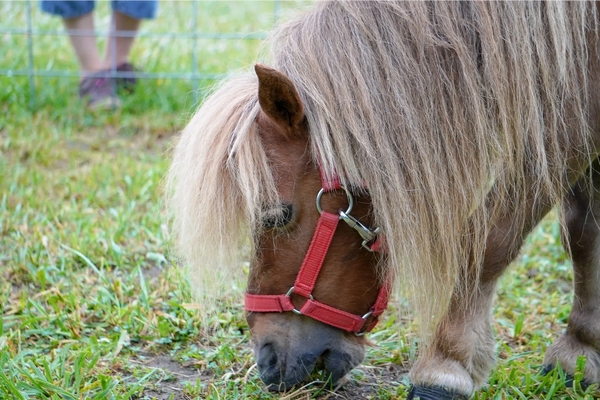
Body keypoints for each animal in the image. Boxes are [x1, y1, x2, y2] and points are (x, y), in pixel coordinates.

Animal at [166, 1, 600, 398]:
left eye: (275, 215)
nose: (267, 359)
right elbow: (585, 234)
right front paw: (581, 353)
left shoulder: (564, 121)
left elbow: (490, 242)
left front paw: (447, 365)